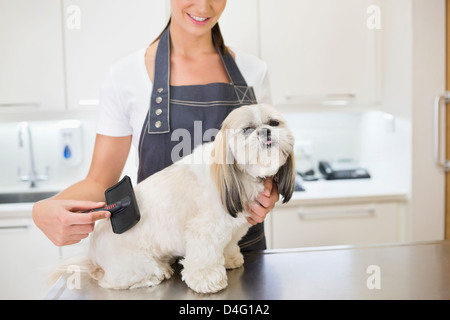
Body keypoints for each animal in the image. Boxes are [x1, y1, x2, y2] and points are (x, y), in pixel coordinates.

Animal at [86, 104, 298, 294]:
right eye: (247, 130)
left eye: (274, 123)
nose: (265, 131)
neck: (238, 175)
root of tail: (93, 252)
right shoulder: (204, 229)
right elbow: (205, 256)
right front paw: (207, 280)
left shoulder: (232, 227)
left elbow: (228, 243)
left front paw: (229, 258)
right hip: (135, 263)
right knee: (119, 279)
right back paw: (157, 273)